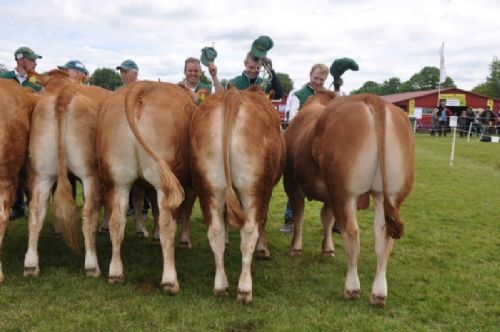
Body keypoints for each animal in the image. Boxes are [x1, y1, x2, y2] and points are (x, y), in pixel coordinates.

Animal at [23, 70, 112, 278]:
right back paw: (92, 265)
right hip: (89, 173)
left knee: (36, 210)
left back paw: (31, 265)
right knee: (88, 211)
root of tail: (64, 92)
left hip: (42, 172)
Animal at [96, 80, 194, 294]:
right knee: (167, 224)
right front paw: (185, 241)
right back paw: (170, 281)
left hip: (118, 180)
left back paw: (115, 273)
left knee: (117, 222)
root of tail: (140, 87)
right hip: (165, 182)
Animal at [190, 86, 286, 304]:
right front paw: (263, 250)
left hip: (210, 187)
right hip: (253, 189)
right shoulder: (267, 191)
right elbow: (263, 221)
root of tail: (232, 94)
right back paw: (244, 289)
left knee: (215, 231)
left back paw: (220, 285)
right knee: (249, 231)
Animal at [286, 91, 414, 306]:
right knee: (384, 236)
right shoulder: (329, 195)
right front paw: (327, 249)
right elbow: (327, 218)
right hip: (389, 195)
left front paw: (296, 248)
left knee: (352, 232)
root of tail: (372, 98)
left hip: (345, 193)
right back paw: (379, 293)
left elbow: (299, 216)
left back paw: (352, 288)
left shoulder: (293, 186)